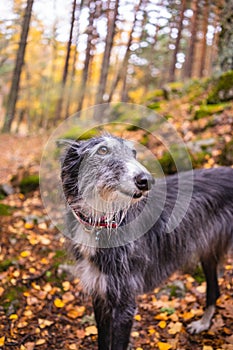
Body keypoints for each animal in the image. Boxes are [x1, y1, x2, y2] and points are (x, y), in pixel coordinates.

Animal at [60, 134, 233, 350]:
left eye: (133, 153)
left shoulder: (124, 304)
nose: (146, 181)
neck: (102, 221)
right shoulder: (100, 294)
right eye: (103, 150)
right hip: (208, 251)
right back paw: (203, 323)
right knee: (214, 289)